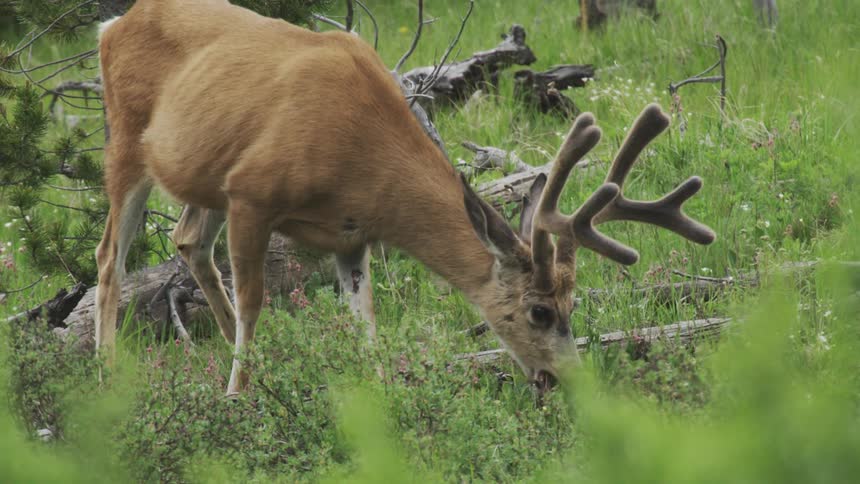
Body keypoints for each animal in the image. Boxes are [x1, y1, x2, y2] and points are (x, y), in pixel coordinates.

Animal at [95, 0, 715, 396]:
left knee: (187, 240)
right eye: (540, 311)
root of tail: (112, 24)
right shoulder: (252, 190)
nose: (568, 379)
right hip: (126, 140)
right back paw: (108, 372)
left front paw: (383, 401)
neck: (362, 158)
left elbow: (366, 324)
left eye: (574, 305)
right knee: (110, 258)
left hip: (201, 177)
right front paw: (237, 397)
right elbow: (255, 303)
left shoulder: (350, 234)